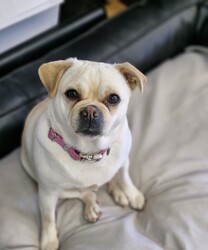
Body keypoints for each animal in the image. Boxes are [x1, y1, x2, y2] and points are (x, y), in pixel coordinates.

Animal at [20, 57, 146, 249]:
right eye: (72, 94)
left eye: (114, 98)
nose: (90, 110)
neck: (89, 152)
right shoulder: (47, 193)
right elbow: (48, 218)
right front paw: (49, 239)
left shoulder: (124, 163)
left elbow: (125, 179)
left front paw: (132, 194)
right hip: (59, 190)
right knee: (86, 194)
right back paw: (91, 206)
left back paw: (117, 192)